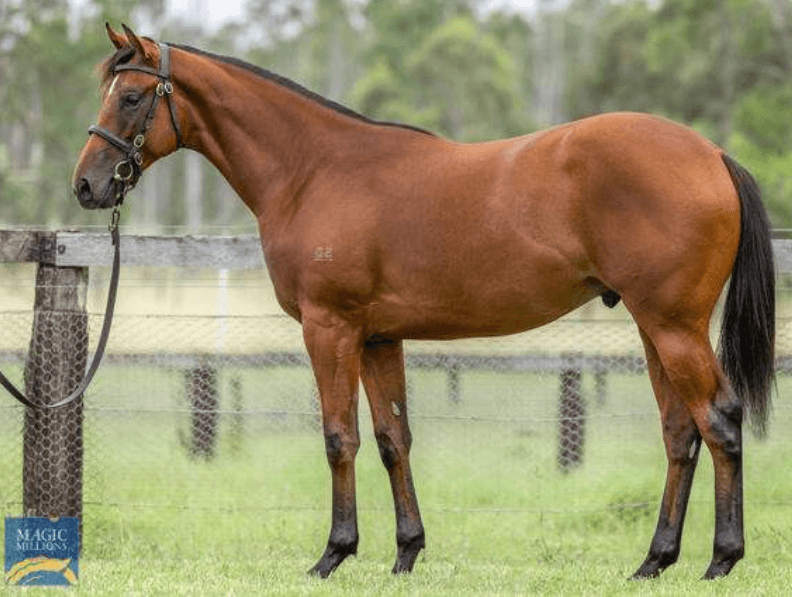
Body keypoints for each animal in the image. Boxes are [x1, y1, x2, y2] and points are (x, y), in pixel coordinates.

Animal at [71, 24, 776, 576]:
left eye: (130, 96)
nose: (85, 186)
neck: (314, 170)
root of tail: (711, 153)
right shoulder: (379, 336)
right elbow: (392, 438)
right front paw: (406, 551)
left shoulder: (330, 329)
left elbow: (339, 437)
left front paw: (334, 553)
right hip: (652, 327)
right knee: (680, 431)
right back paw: (655, 560)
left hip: (674, 325)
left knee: (720, 420)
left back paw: (721, 559)